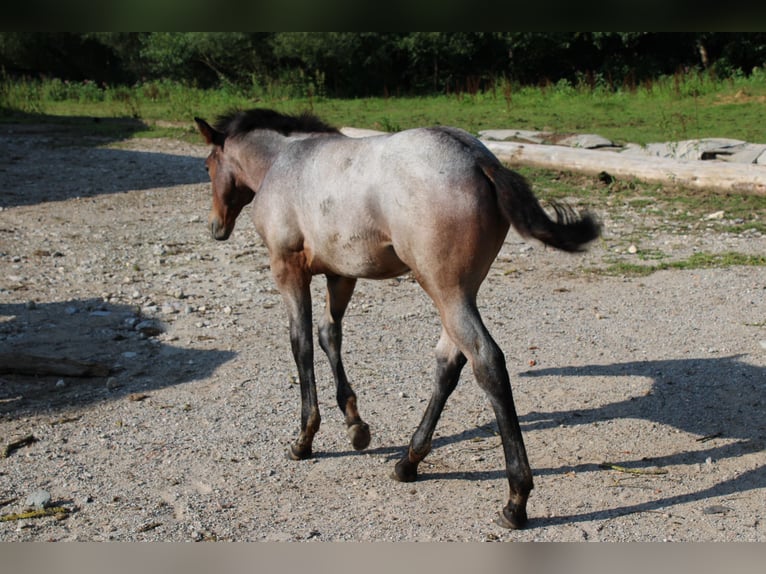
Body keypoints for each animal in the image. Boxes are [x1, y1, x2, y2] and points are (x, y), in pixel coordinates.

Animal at [194, 109, 600, 532]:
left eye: (207, 166)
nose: (216, 227)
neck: (284, 160)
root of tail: (479, 160)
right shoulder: (342, 273)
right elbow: (329, 334)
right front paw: (356, 426)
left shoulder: (287, 268)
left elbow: (300, 343)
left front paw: (304, 439)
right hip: (460, 291)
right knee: (449, 361)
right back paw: (409, 461)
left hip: (445, 290)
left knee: (486, 361)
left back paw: (515, 500)